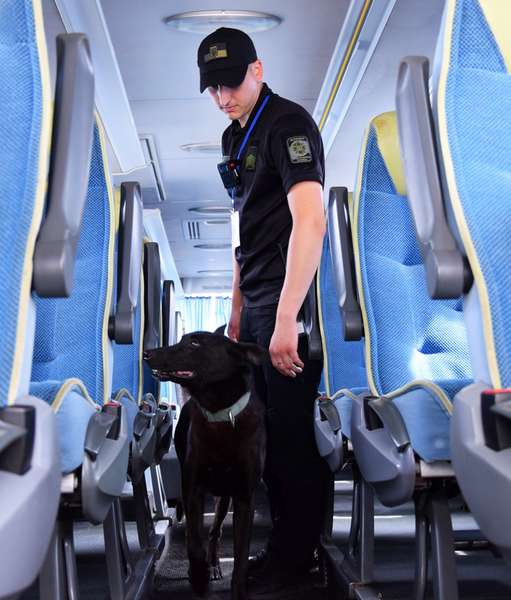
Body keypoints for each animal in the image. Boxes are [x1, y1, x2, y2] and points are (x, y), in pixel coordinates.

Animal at [144, 327, 267, 600]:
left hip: (225, 498)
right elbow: (193, 544)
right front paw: (199, 578)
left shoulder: (244, 496)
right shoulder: (193, 488)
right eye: (182, 339)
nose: (147, 353)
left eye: (195, 344)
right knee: (197, 533)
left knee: (215, 532)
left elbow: (241, 556)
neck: (220, 413)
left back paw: (215, 566)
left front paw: (237, 590)